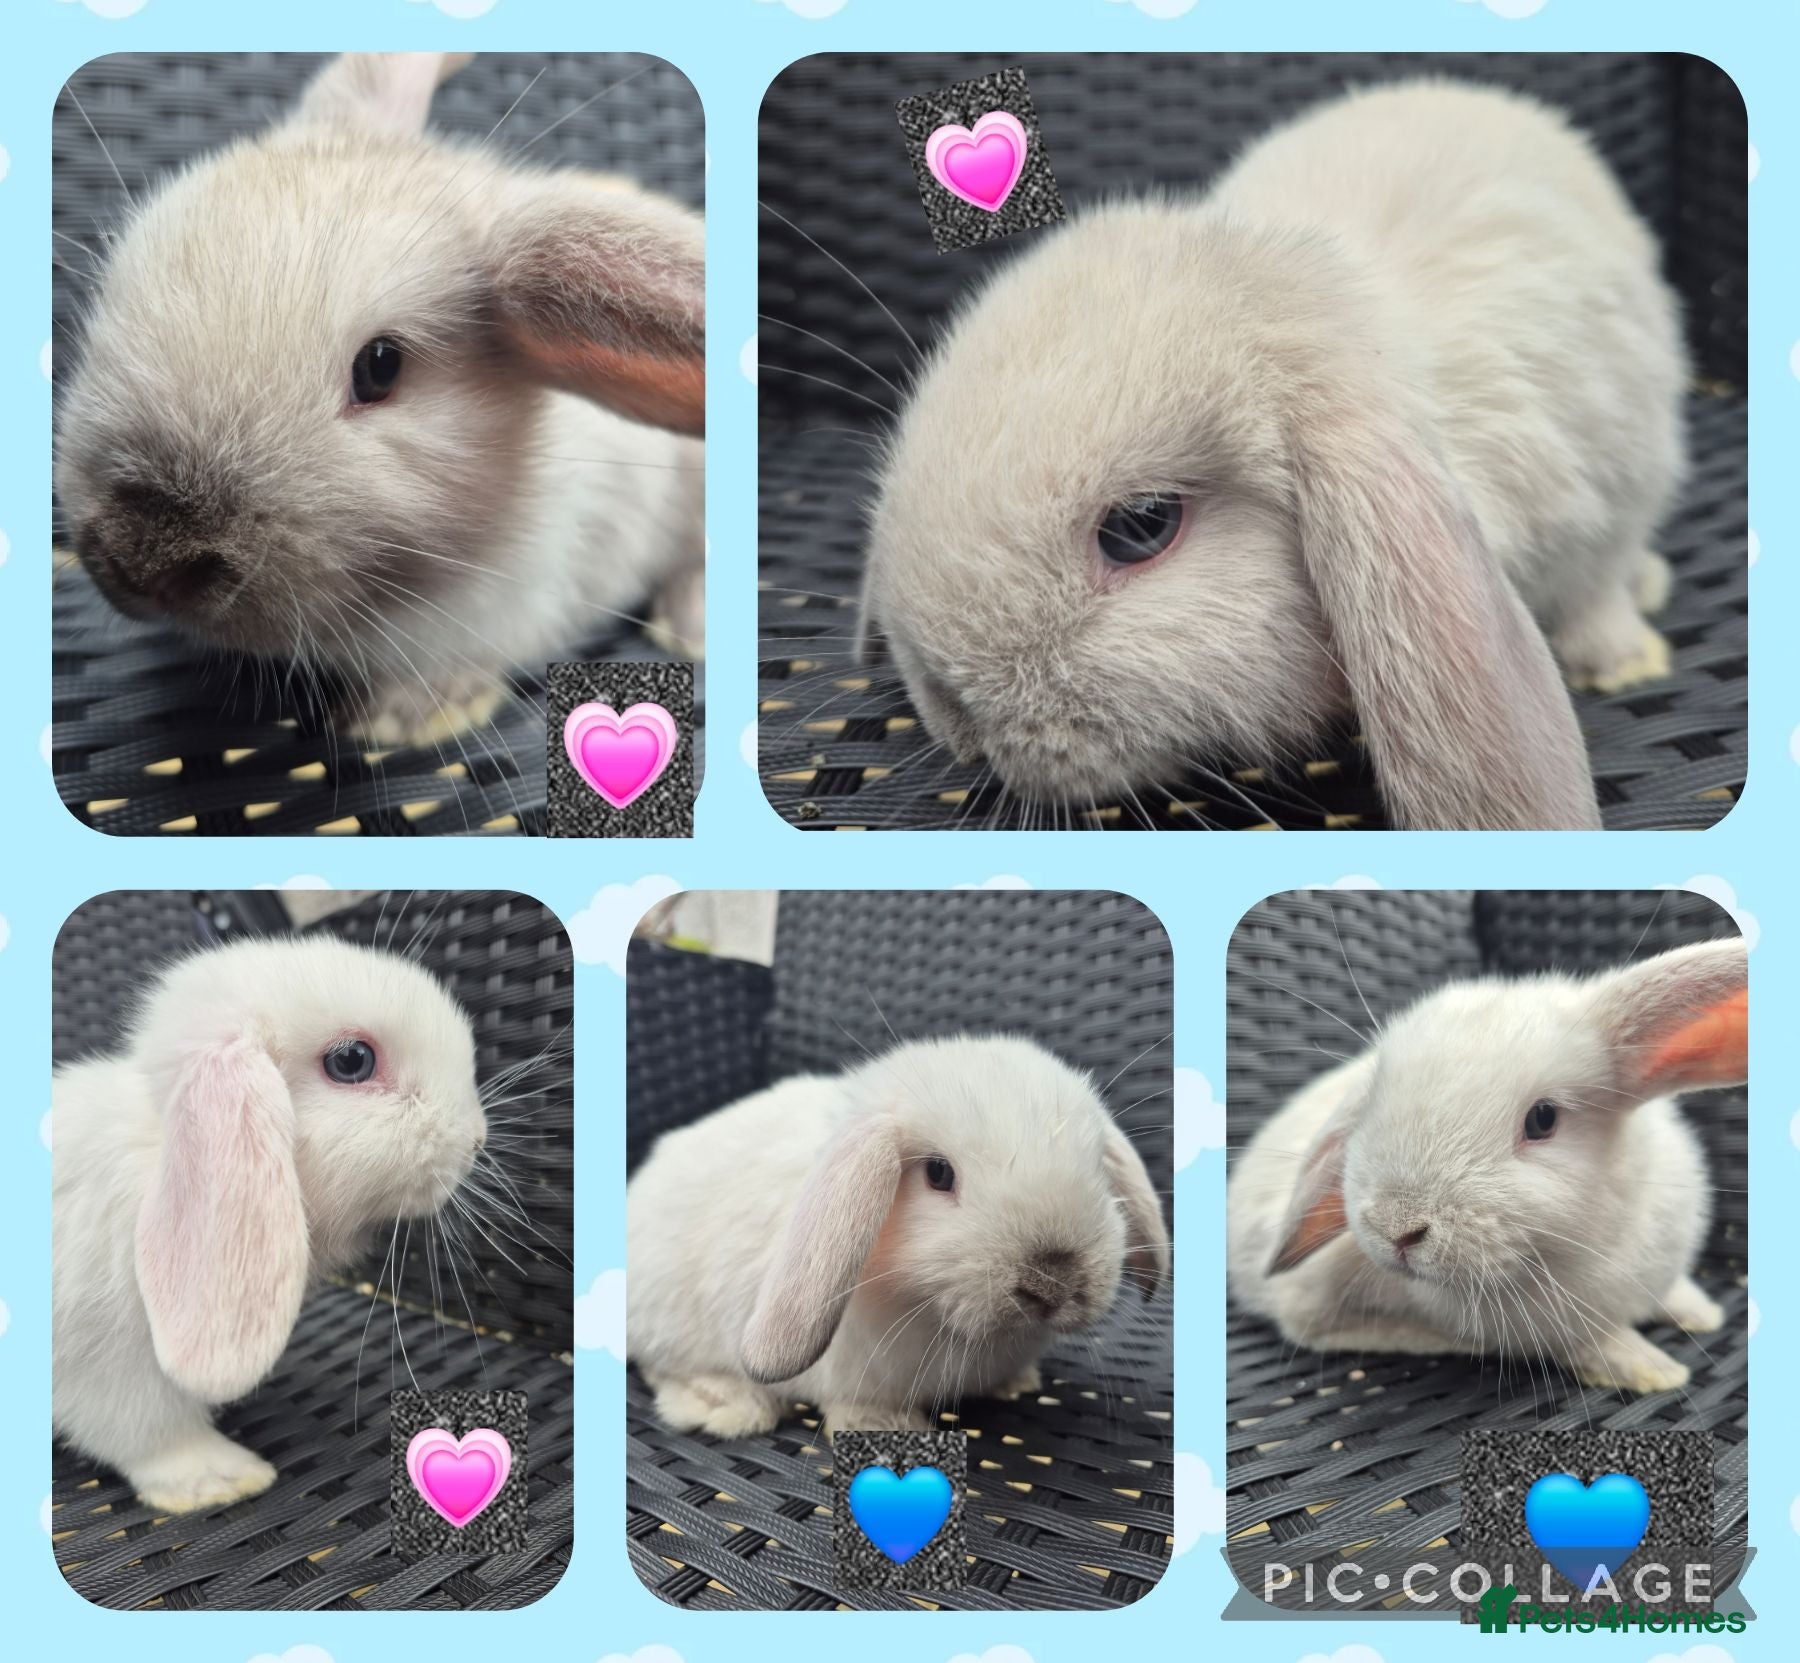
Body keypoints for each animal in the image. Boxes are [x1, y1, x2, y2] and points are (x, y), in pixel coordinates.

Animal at [52, 933, 486, 1513]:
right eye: (352, 1060)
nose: (478, 1137)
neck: (158, 1157)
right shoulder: (107, 1367)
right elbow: (152, 1434)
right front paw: (223, 1479)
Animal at [626, 1035, 1170, 1436]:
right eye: (938, 1173)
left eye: (1098, 1168)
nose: (1052, 1282)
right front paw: (891, 1428)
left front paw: (1018, 1383)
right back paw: (727, 1405)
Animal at [1226, 938, 1747, 1395]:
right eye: (1371, 1101)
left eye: (1543, 1118)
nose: (1397, 1229)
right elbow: (1588, 1341)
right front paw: (1652, 1369)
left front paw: (1703, 1313)